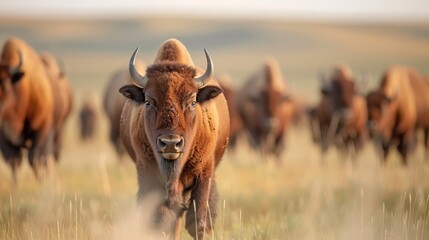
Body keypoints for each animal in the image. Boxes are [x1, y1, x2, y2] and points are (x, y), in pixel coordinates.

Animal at [0, 36, 54, 181]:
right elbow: (13, 161)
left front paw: (41, 181)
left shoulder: (41, 130)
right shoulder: (5, 137)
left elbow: (33, 157)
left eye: (6, 83)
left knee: (44, 159)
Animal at [118, 38, 229, 239]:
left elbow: (198, 222)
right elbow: (159, 223)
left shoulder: (204, 176)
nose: (171, 143)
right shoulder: (149, 178)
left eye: (192, 102)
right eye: (148, 101)